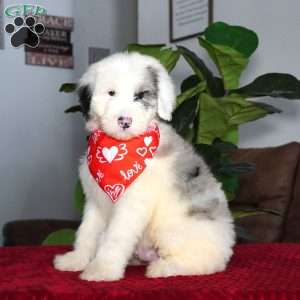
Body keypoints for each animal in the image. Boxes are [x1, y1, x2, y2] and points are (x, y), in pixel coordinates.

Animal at [54, 51, 237, 282]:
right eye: (111, 93)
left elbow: (115, 237)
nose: (125, 121)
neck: (120, 147)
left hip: (174, 229)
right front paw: (76, 260)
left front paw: (102, 269)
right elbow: (87, 232)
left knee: (204, 262)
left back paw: (164, 268)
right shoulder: (95, 201)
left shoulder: (132, 204)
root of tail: (227, 243)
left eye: (140, 96)